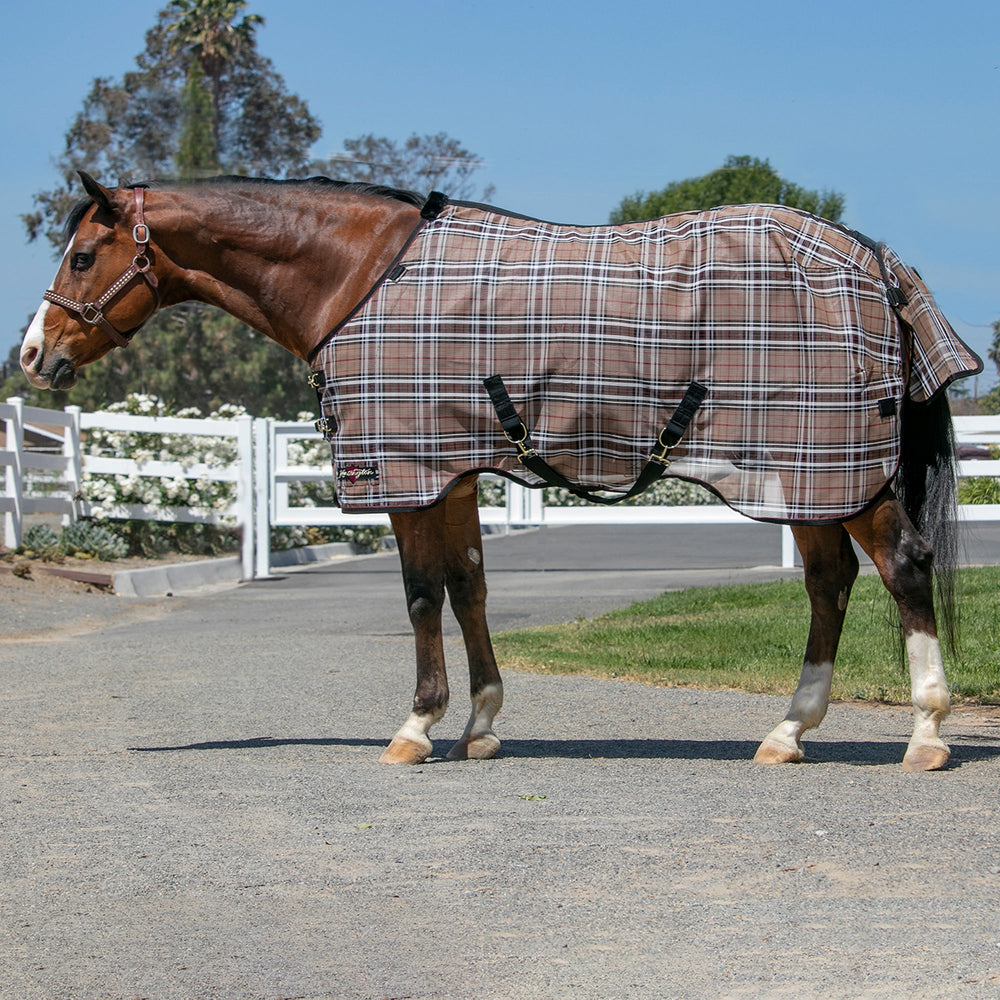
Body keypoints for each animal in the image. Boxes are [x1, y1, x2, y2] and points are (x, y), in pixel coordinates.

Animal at [20, 171, 982, 771]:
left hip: (830, 470)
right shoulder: (450, 472)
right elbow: (469, 587)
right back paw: (787, 731)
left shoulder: (406, 475)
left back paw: (926, 735)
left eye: (82, 256)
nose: (32, 355)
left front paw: (415, 728)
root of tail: (873, 259)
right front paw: (479, 726)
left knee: (902, 566)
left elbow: (420, 595)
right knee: (830, 583)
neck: (360, 278)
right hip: (811, 476)